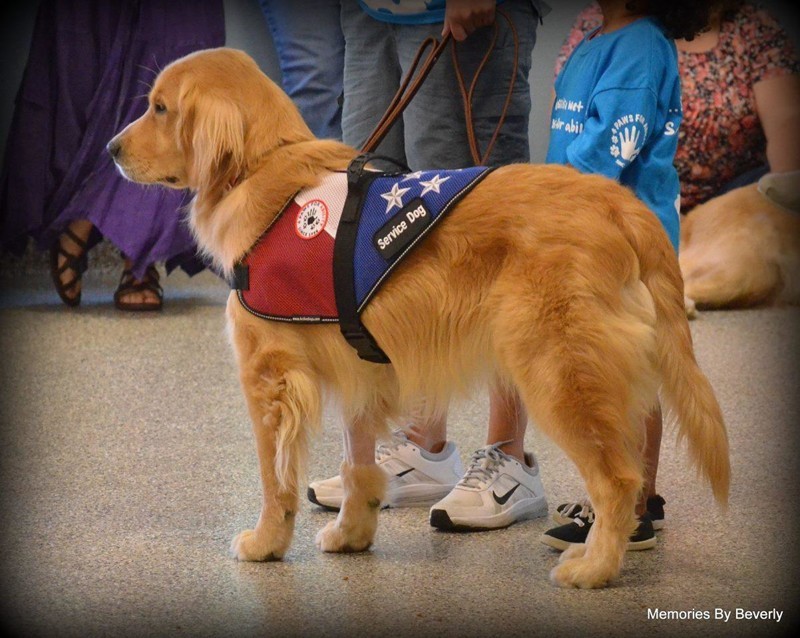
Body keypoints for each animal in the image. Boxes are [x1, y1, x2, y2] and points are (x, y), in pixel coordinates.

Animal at [108, 48, 732, 592]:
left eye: (159, 108)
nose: (110, 149)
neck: (262, 165)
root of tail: (621, 204)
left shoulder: (270, 378)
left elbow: (274, 477)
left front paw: (266, 543)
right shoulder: (361, 369)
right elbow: (358, 464)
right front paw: (353, 532)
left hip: (560, 372)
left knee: (618, 480)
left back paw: (595, 567)